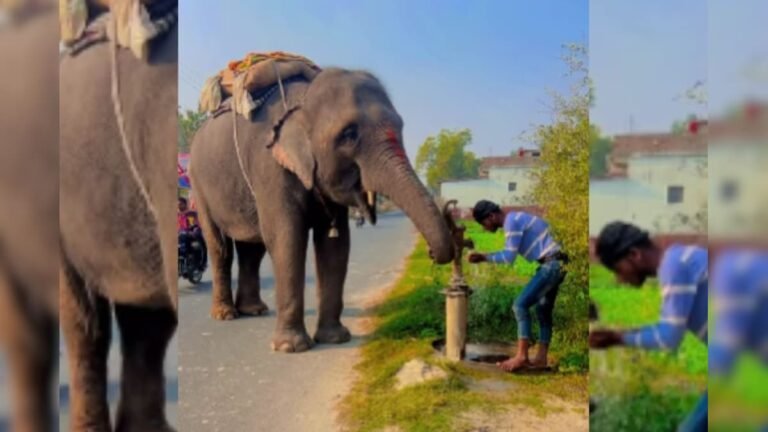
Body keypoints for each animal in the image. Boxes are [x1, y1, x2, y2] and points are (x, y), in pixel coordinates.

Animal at [190, 67, 455, 353]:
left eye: (400, 127)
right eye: (349, 134)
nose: (430, 252)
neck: (303, 99)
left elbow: (335, 245)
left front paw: (335, 338)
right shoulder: (270, 167)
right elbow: (286, 238)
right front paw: (291, 347)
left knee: (252, 248)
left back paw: (254, 310)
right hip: (199, 186)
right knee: (220, 246)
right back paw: (225, 314)